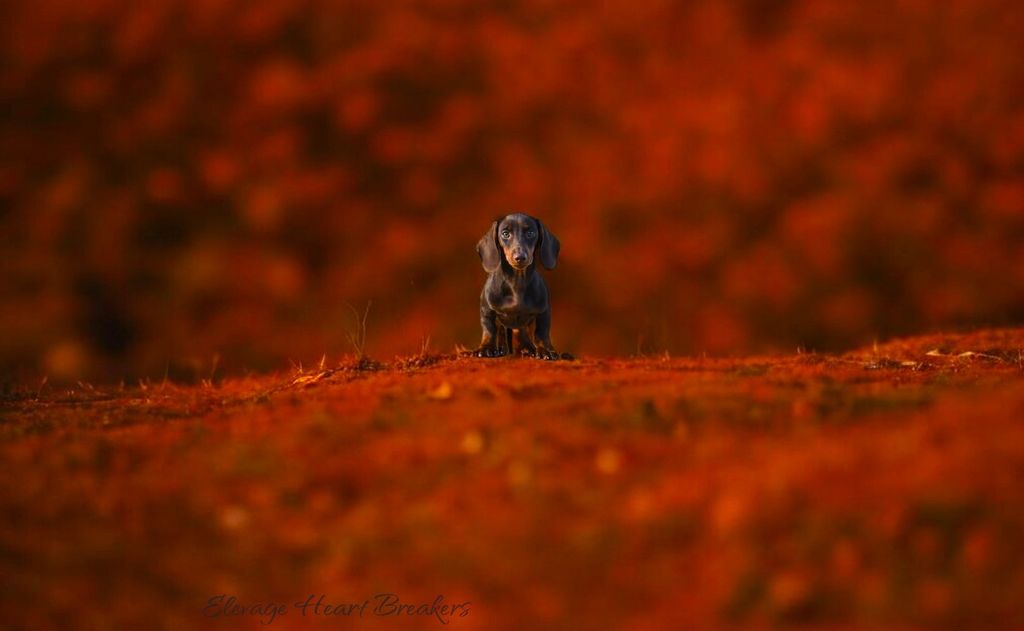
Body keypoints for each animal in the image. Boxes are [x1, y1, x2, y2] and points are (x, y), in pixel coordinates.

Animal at [471, 213, 561, 356]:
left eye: (530, 233)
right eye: (505, 234)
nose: (520, 257)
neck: (516, 284)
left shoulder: (544, 312)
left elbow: (541, 332)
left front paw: (545, 350)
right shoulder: (486, 310)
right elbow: (489, 331)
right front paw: (485, 348)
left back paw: (526, 348)